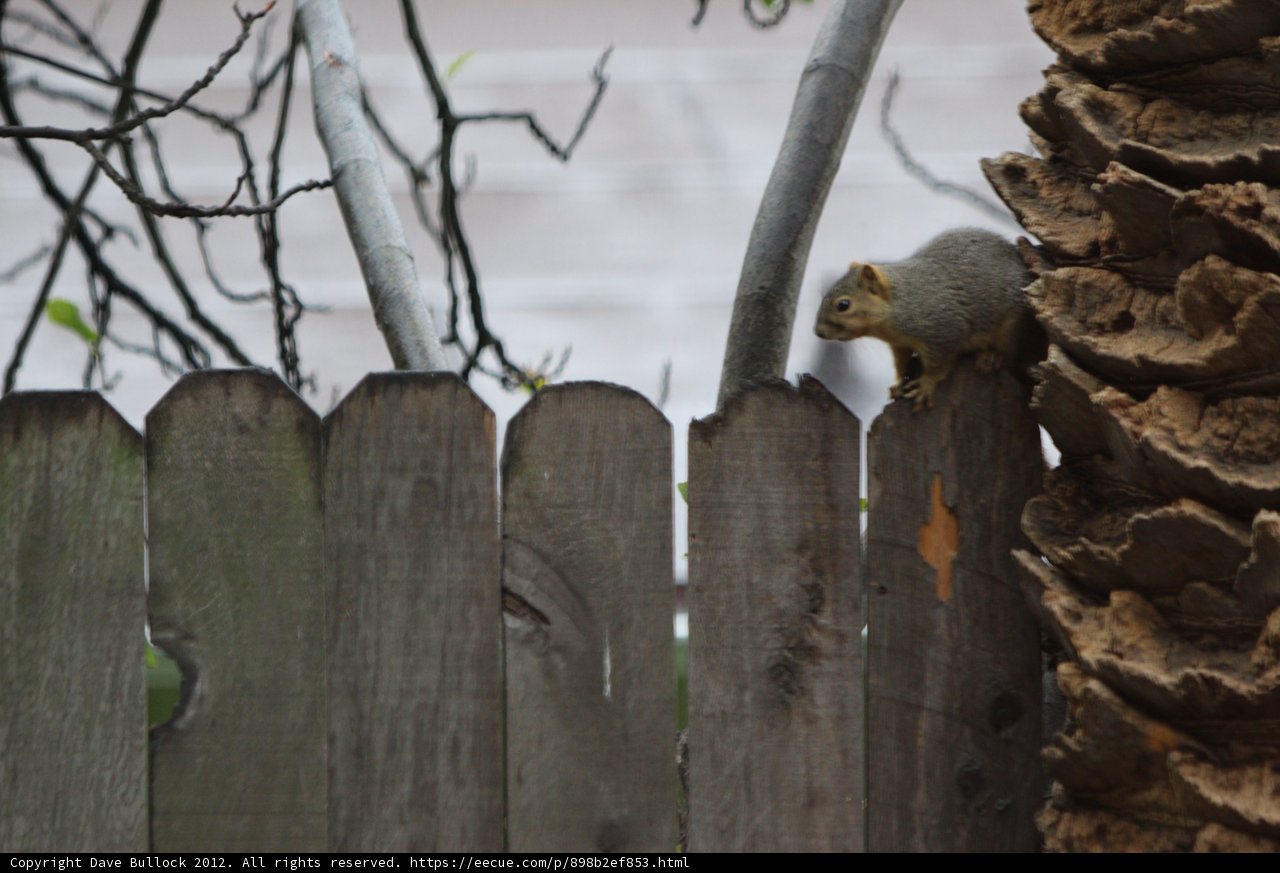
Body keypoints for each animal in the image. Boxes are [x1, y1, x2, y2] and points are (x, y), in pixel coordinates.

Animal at [814, 227, 1045, 410]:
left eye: (843, 305)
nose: (818, 332)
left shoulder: (943, 330)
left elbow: (938, 364)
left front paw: (925, 385)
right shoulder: (900, 343)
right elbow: (901, 362)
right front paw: (898, 383)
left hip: (1014, 329)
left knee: (1011, 358)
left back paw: (991, 357)